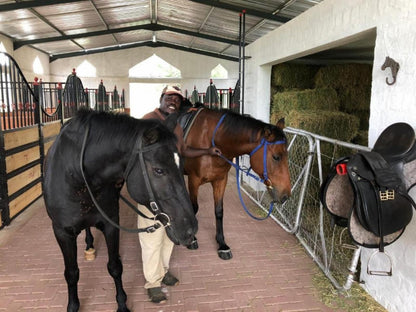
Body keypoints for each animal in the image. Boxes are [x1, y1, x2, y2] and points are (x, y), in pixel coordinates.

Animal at [44, 109, 198, 312]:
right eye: (158, 170)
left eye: (181, 165)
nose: (190, 229)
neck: (75, 174)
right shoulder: (61, 232)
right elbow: (71, 273)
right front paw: (73, 305)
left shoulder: (111, 223)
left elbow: (115, 266)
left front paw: (122, 303)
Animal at [180, 108, 290, 260]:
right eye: (276, 157)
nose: (286, 195)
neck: (211, 139)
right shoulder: (193, 180)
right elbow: (194, 207)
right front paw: (192, 239)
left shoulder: (220, 180)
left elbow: (219, 211)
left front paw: (222, 244)